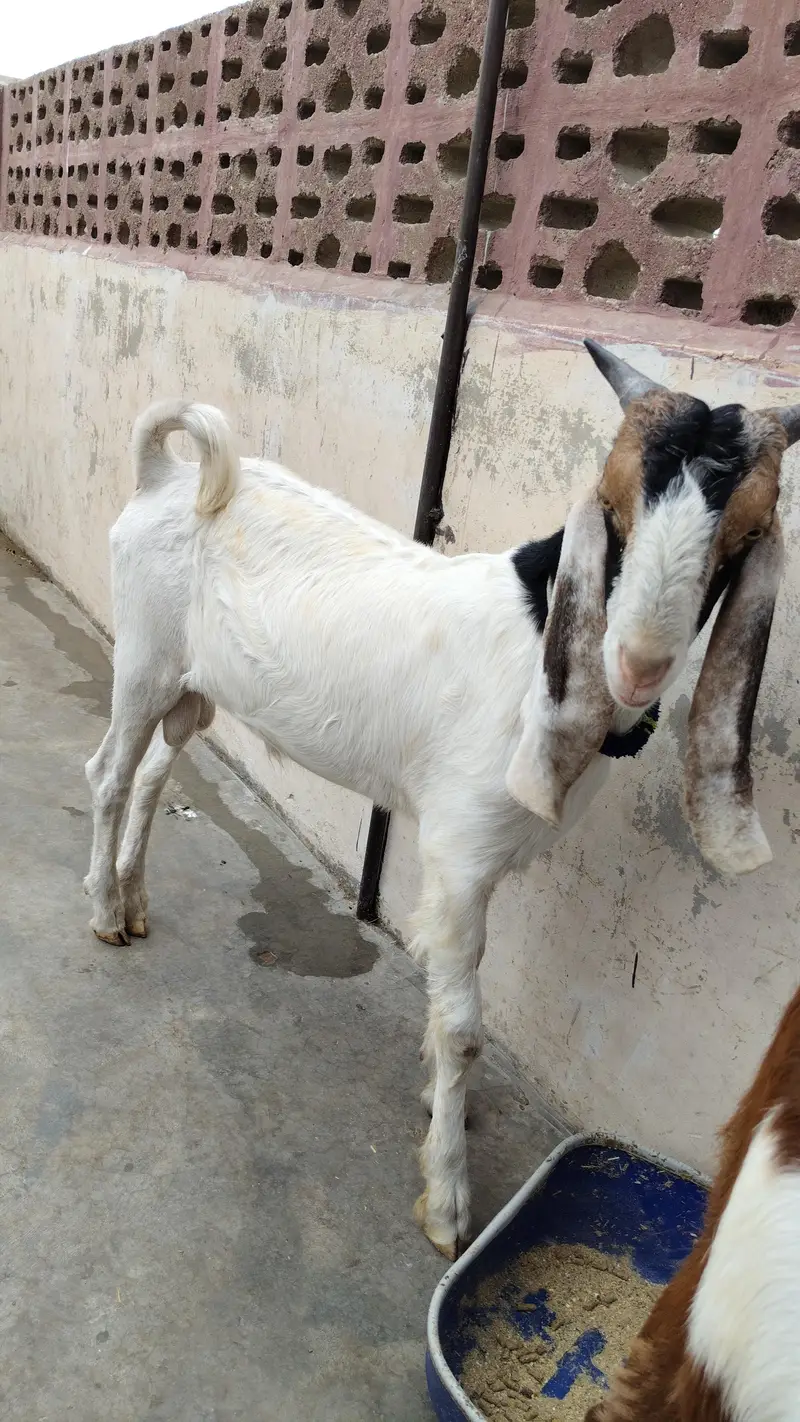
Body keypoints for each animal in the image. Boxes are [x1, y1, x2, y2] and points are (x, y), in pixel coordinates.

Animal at [84, 341, 800, 1259]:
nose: (637, 663)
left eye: (743, 537)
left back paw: (136, 901)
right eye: (612, 508)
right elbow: (464, 1027)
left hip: (189, 685)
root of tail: (164, 477)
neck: (540, 638)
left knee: (150, 774)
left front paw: (434, 1104)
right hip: (142, 656)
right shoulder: (460, 850)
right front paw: (450, 1198)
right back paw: (106, 914)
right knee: (109, 772)